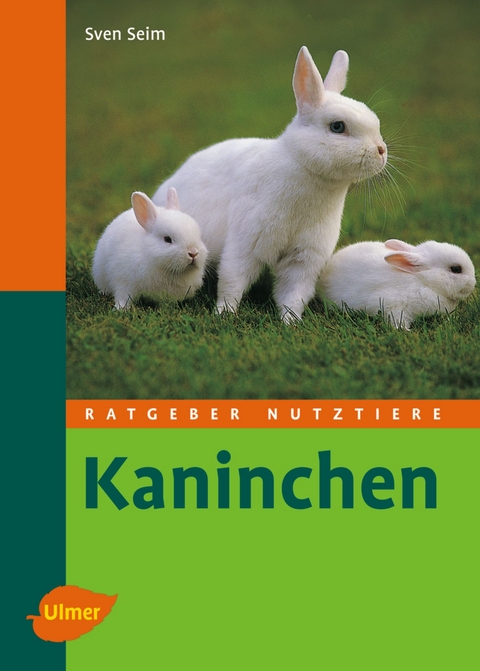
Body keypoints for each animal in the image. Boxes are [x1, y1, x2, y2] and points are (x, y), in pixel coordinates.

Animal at [152, 46, 387, 323]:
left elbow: (294, 293)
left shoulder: (304, 259)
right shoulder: (245, 244)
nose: (382, 151)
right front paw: (225, 313)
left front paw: (291, 322)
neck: (306, 173)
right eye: (337, 126)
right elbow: (232, 281)